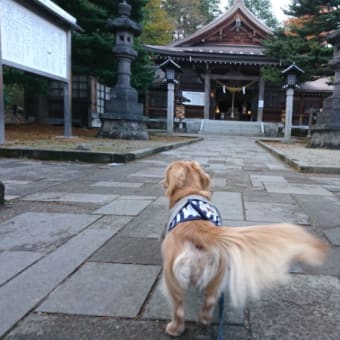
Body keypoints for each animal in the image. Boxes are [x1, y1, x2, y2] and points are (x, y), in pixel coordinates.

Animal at [162, 161, 330, 336]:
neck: (190, 192)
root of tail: (198, 231)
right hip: (216, 276)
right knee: (209, 302)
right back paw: (204, 320)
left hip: (171, 280)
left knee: (179, 309)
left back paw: (174, 329)